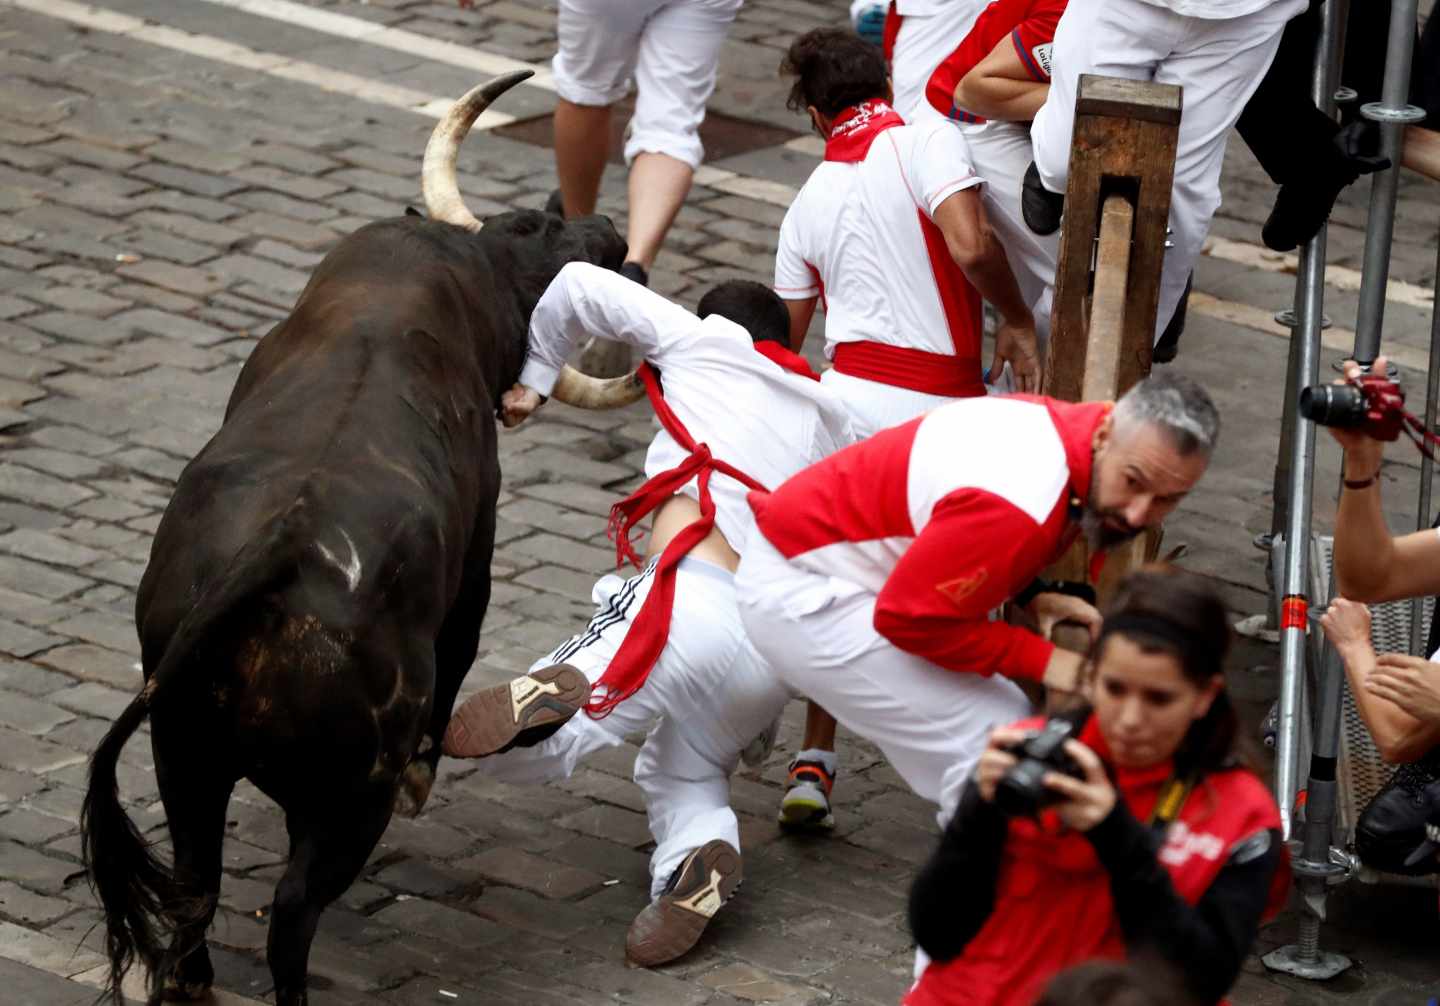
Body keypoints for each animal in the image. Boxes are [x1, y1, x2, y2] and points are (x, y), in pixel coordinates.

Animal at [80, 72, 624, 1006]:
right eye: (543, 226)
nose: (617, 236)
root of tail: (276, 554)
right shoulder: (477, 558)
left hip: (182, 753)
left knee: (195, 885)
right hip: (344, 802)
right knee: (293, 912)